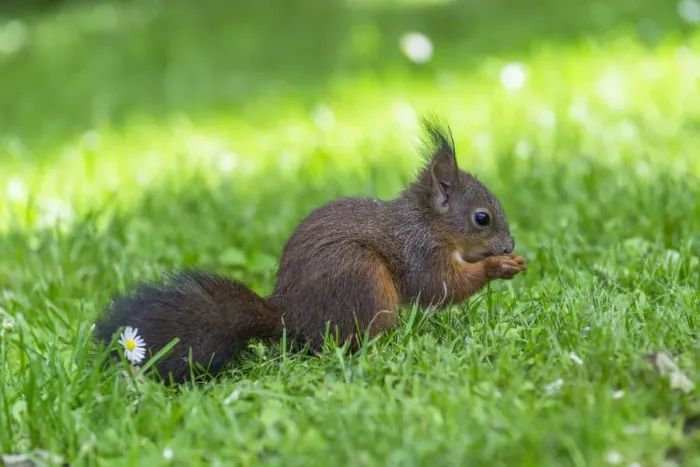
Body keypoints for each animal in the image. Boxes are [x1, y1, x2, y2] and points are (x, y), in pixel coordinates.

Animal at [93, 117, 527, 383]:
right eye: (482, 218)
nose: (509, 245)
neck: (426, 221)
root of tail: (290, 318)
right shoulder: (419, 250)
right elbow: (438, 287)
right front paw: (498, 267)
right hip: (362, 279)